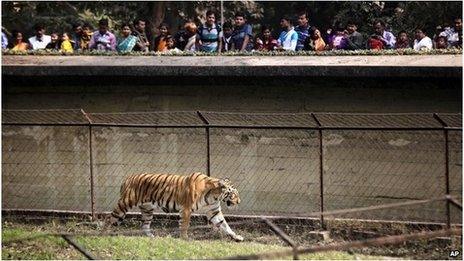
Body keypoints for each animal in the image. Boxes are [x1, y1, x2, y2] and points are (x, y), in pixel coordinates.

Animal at [110, 172, 245, 241]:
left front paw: (236, 236)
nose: (239, 201)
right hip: (125, 203)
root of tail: (128, 177)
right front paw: (185, 238)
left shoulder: (214, 211)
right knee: (112, 218)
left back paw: (152, 237)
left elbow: (225, 225)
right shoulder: (186, 209)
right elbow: (185, 224)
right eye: (234, 194)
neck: (214, 196)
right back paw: (106, 233)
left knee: (144, 225)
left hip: (148, 209)